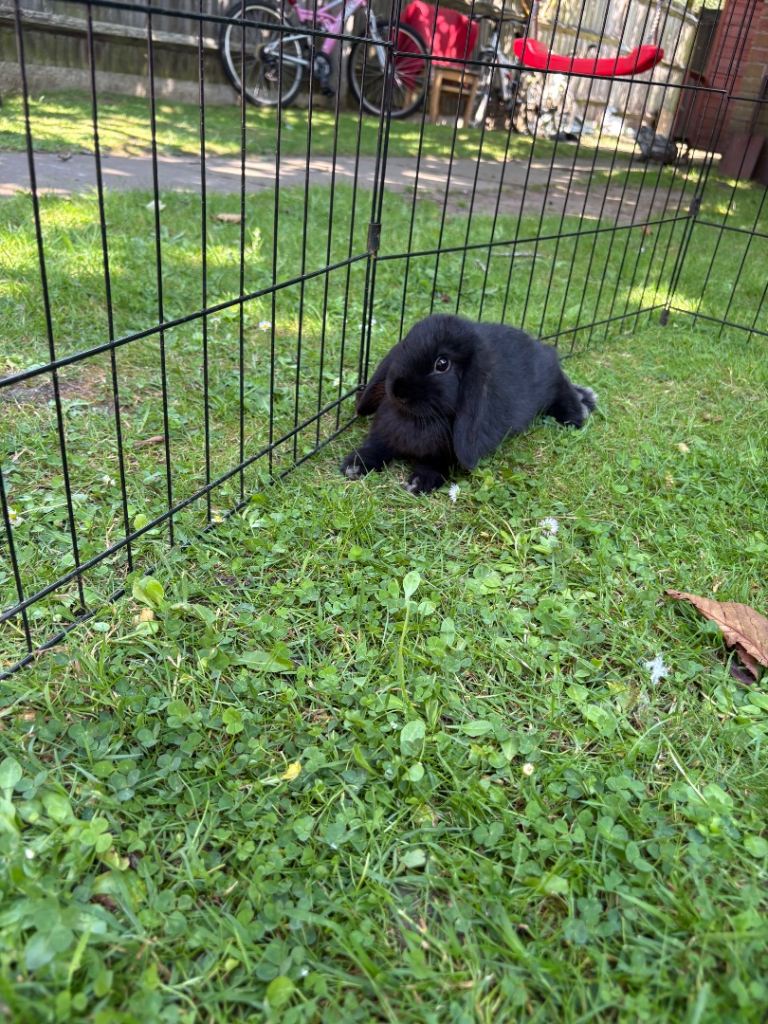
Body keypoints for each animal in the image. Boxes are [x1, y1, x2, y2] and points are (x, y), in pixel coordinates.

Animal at [340, 314, 597, 494]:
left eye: (442, 364)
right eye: (404, 345)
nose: (397, 390)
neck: (417, 417)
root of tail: (541, 348)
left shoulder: (446, 455)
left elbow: (436, 464)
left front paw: (419, 482)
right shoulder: (383, 436)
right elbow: (376, 447)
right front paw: (354, 466)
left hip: (549, 380)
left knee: (562, 386)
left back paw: (579, 410)